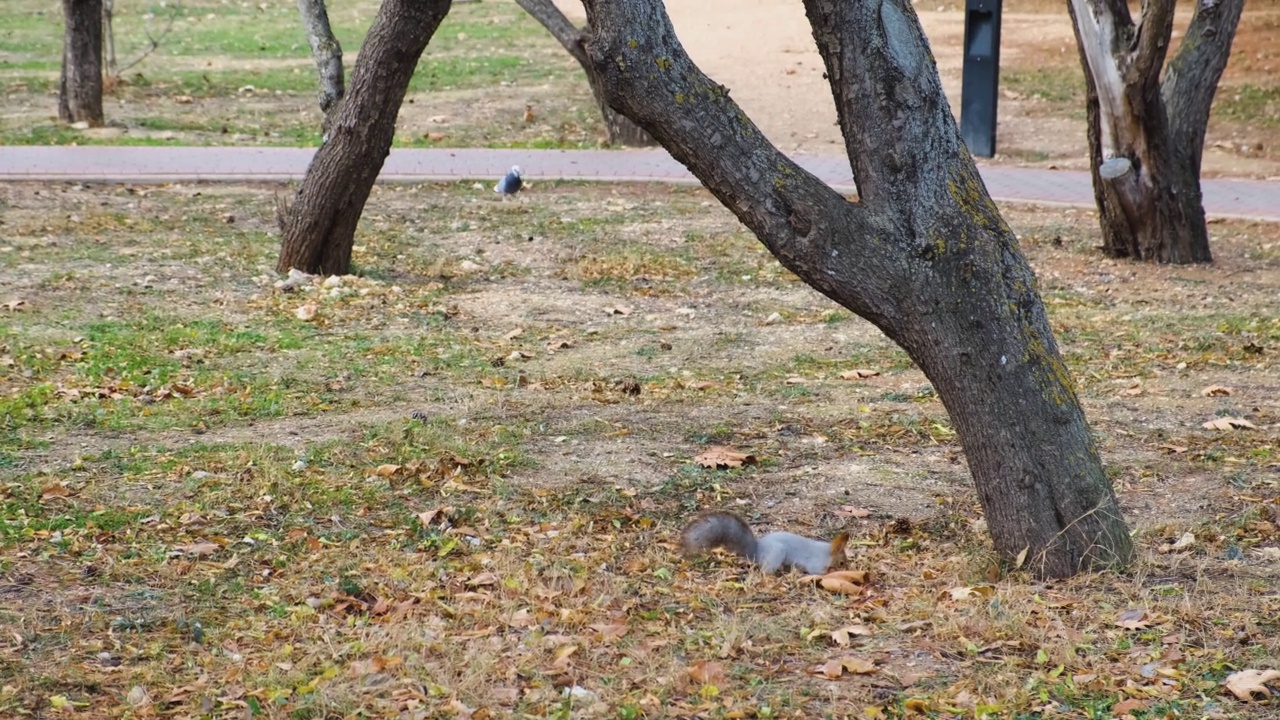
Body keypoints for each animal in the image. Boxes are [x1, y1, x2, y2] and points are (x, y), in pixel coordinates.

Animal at [680, 509, 849, 571]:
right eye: (842, 563)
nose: (847, 570)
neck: (825, 552)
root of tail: (756, 550)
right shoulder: (815, 564)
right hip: (776, 555)